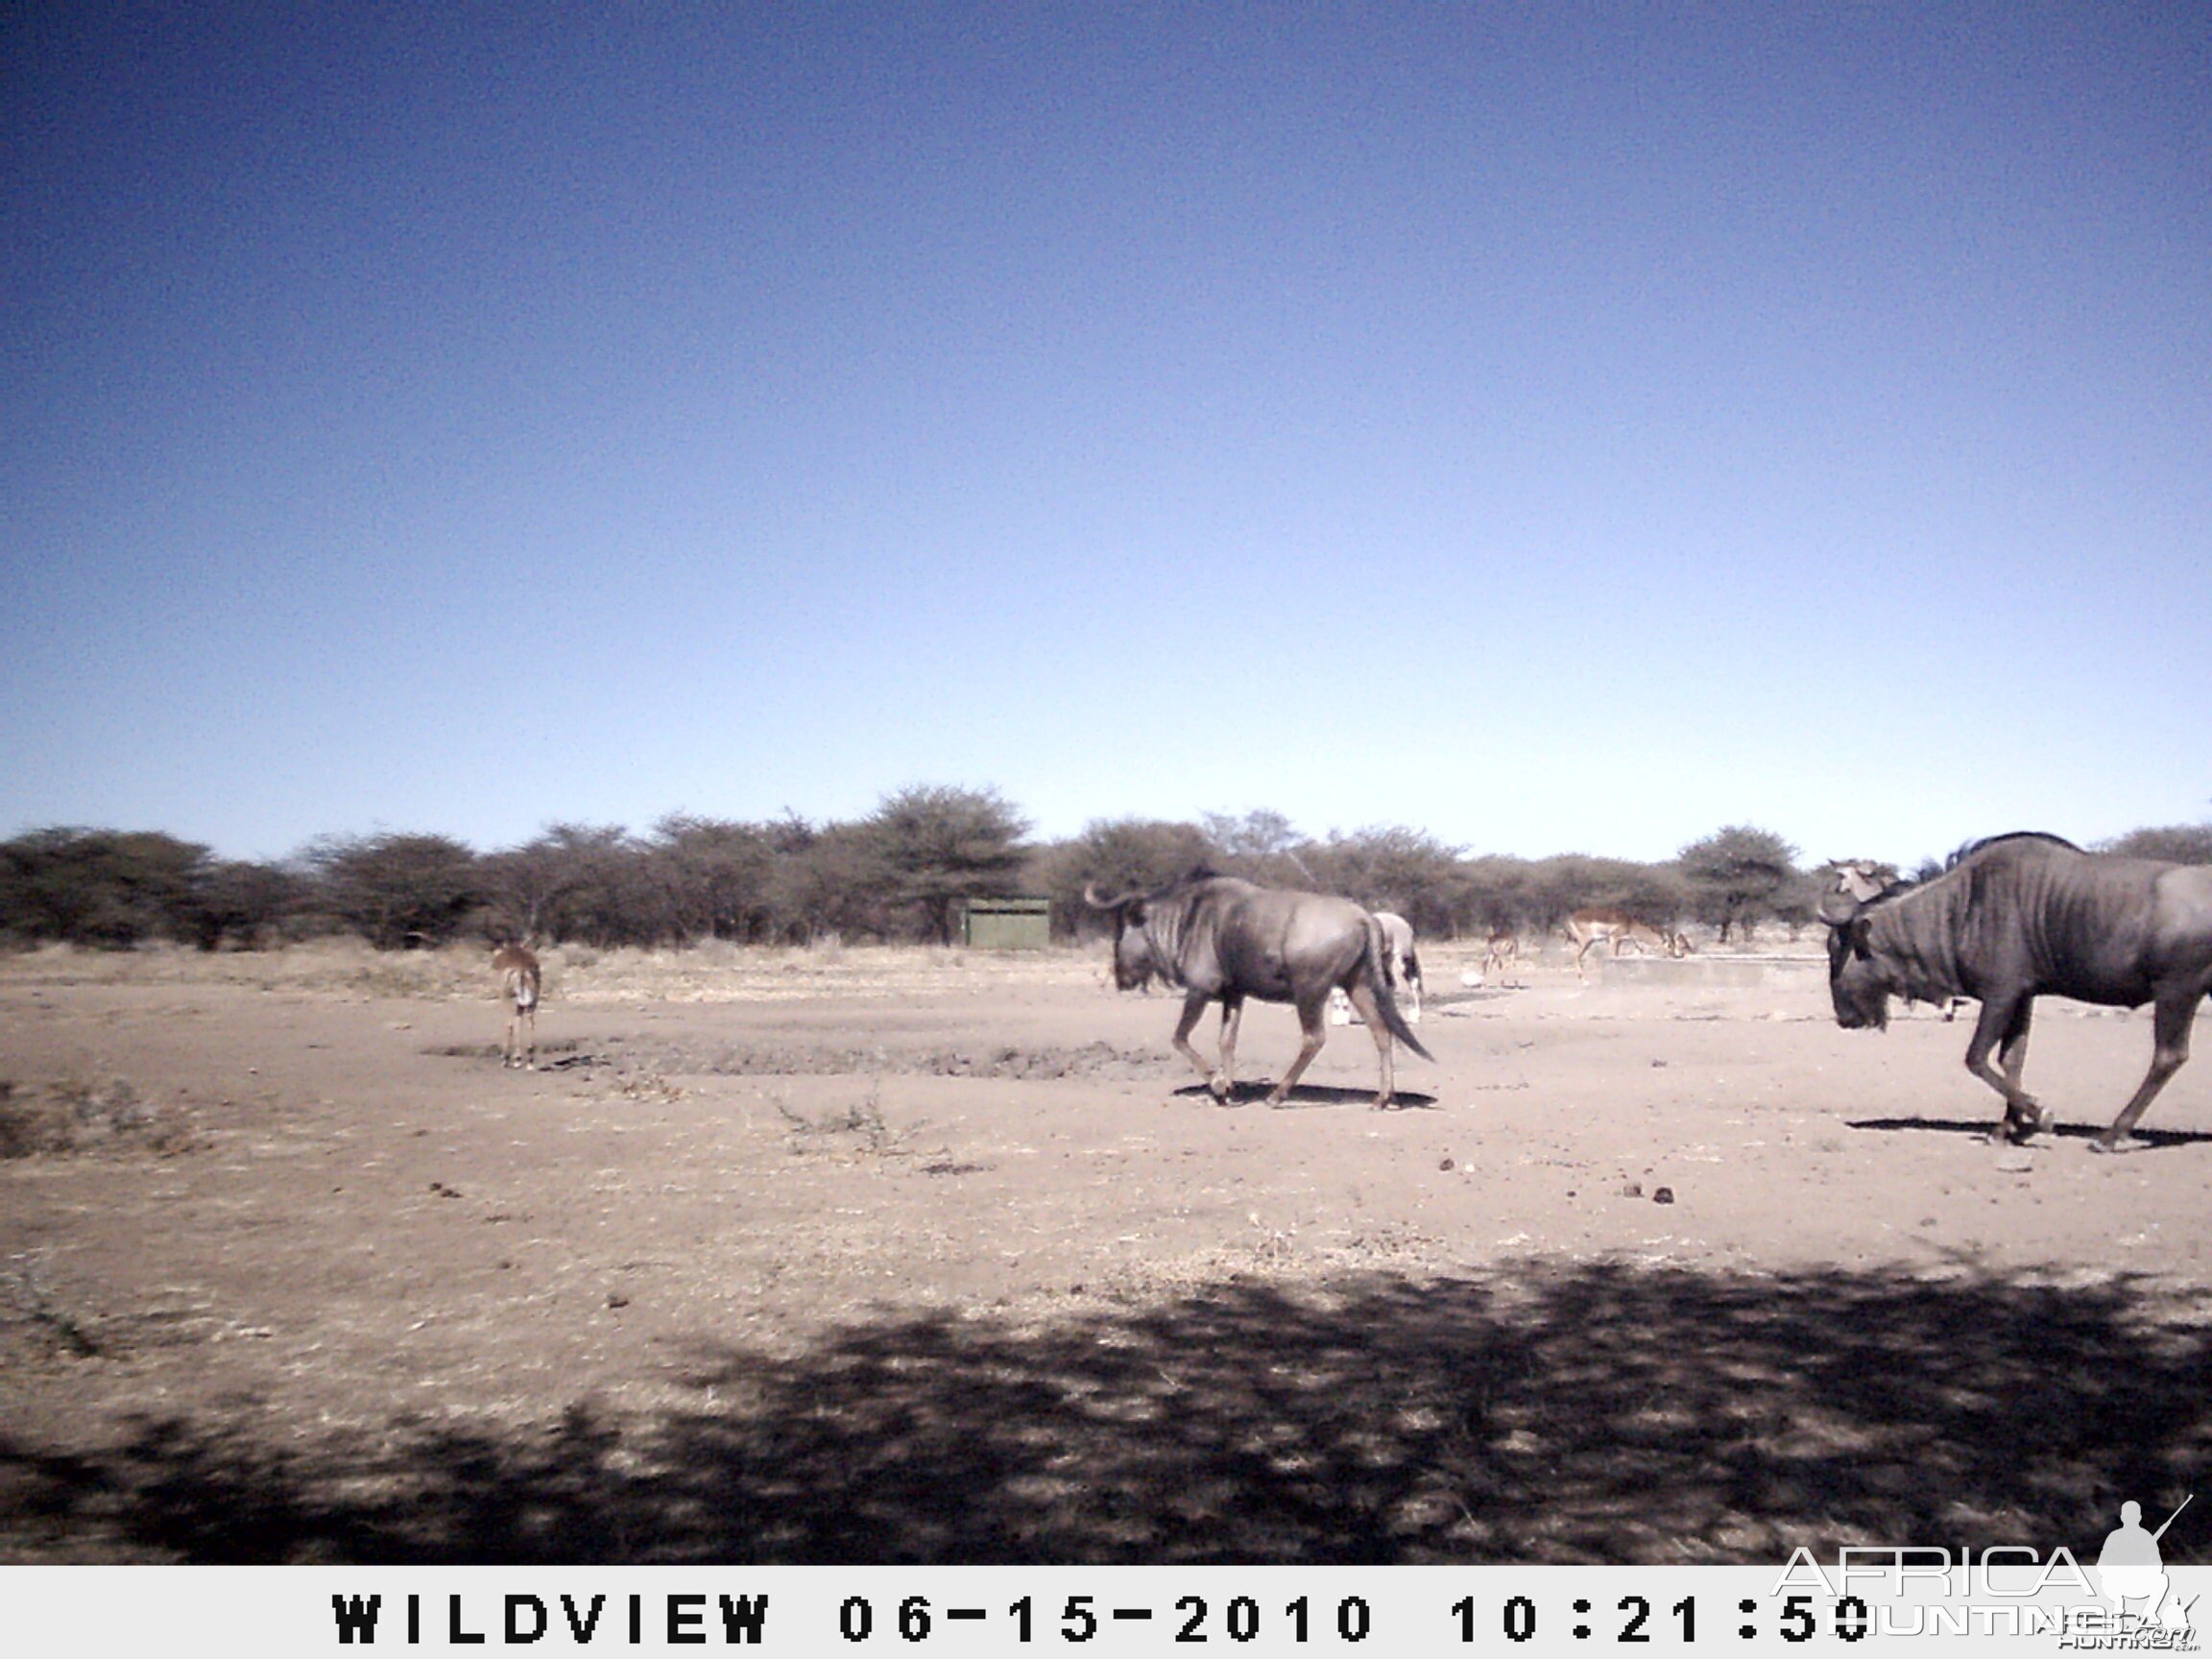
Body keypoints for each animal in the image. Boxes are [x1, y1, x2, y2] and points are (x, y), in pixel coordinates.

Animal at [493, 942, 540, 1070]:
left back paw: (507, 1060)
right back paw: (530, 1062)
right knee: (530, 1024)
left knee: (510, 1025)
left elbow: (511, 1025)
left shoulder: (506, 999)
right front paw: (518, 1059)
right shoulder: (521, 1006)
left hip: (510, 1000)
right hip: (532, 1002)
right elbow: (519, 1025)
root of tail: (522, 969)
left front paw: (508, 1060)